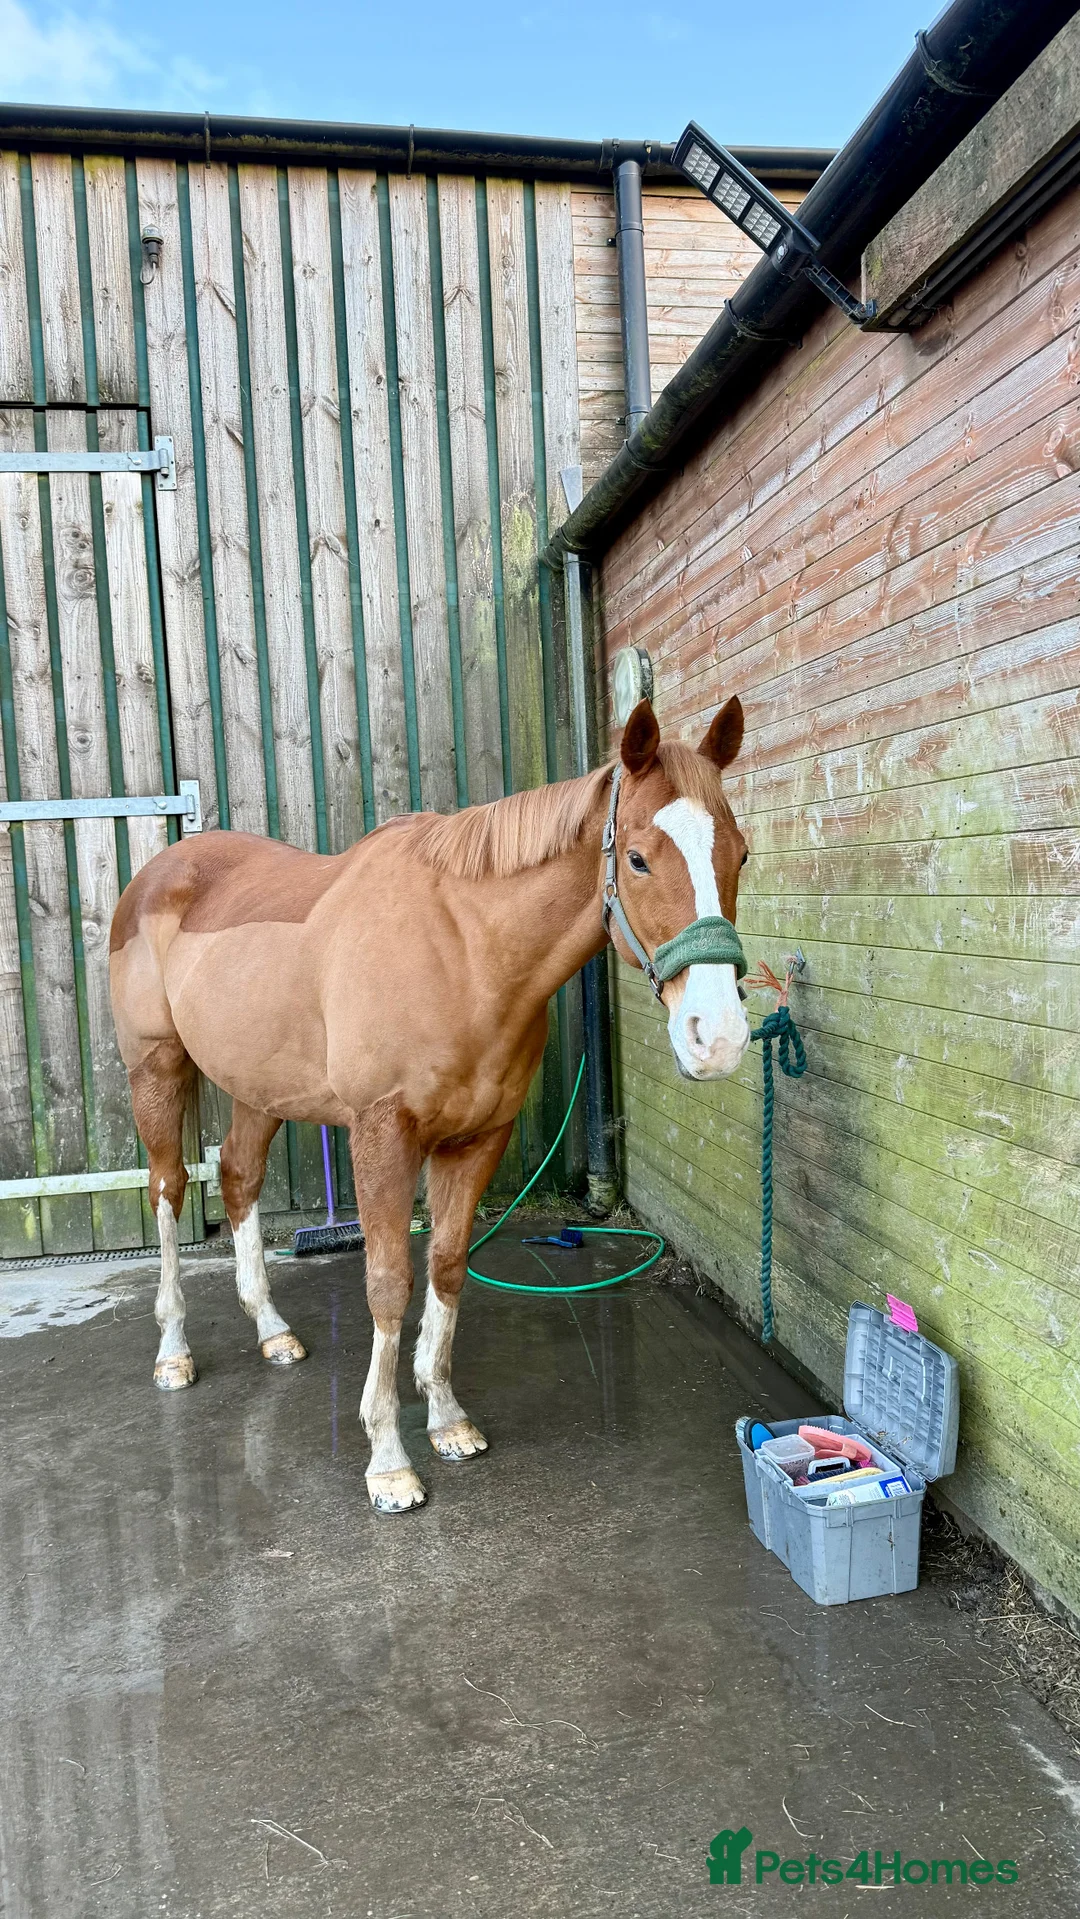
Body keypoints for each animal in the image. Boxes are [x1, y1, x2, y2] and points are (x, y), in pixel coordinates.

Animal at [108, 696, 750, 1514]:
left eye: (740, 855)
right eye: (637, 858)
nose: (718, 1037)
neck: (463, 951)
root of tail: (156, 877)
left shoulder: (478, 1139)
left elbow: (446, 1266)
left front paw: (446, 1419)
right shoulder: (383, 1135)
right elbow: (389, 1284)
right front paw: (388, 1460)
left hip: (260, 1085)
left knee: (239, 1177)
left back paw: (273, 1330)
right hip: (156, 1071)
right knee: (166, 1191)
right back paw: (173, 1351)